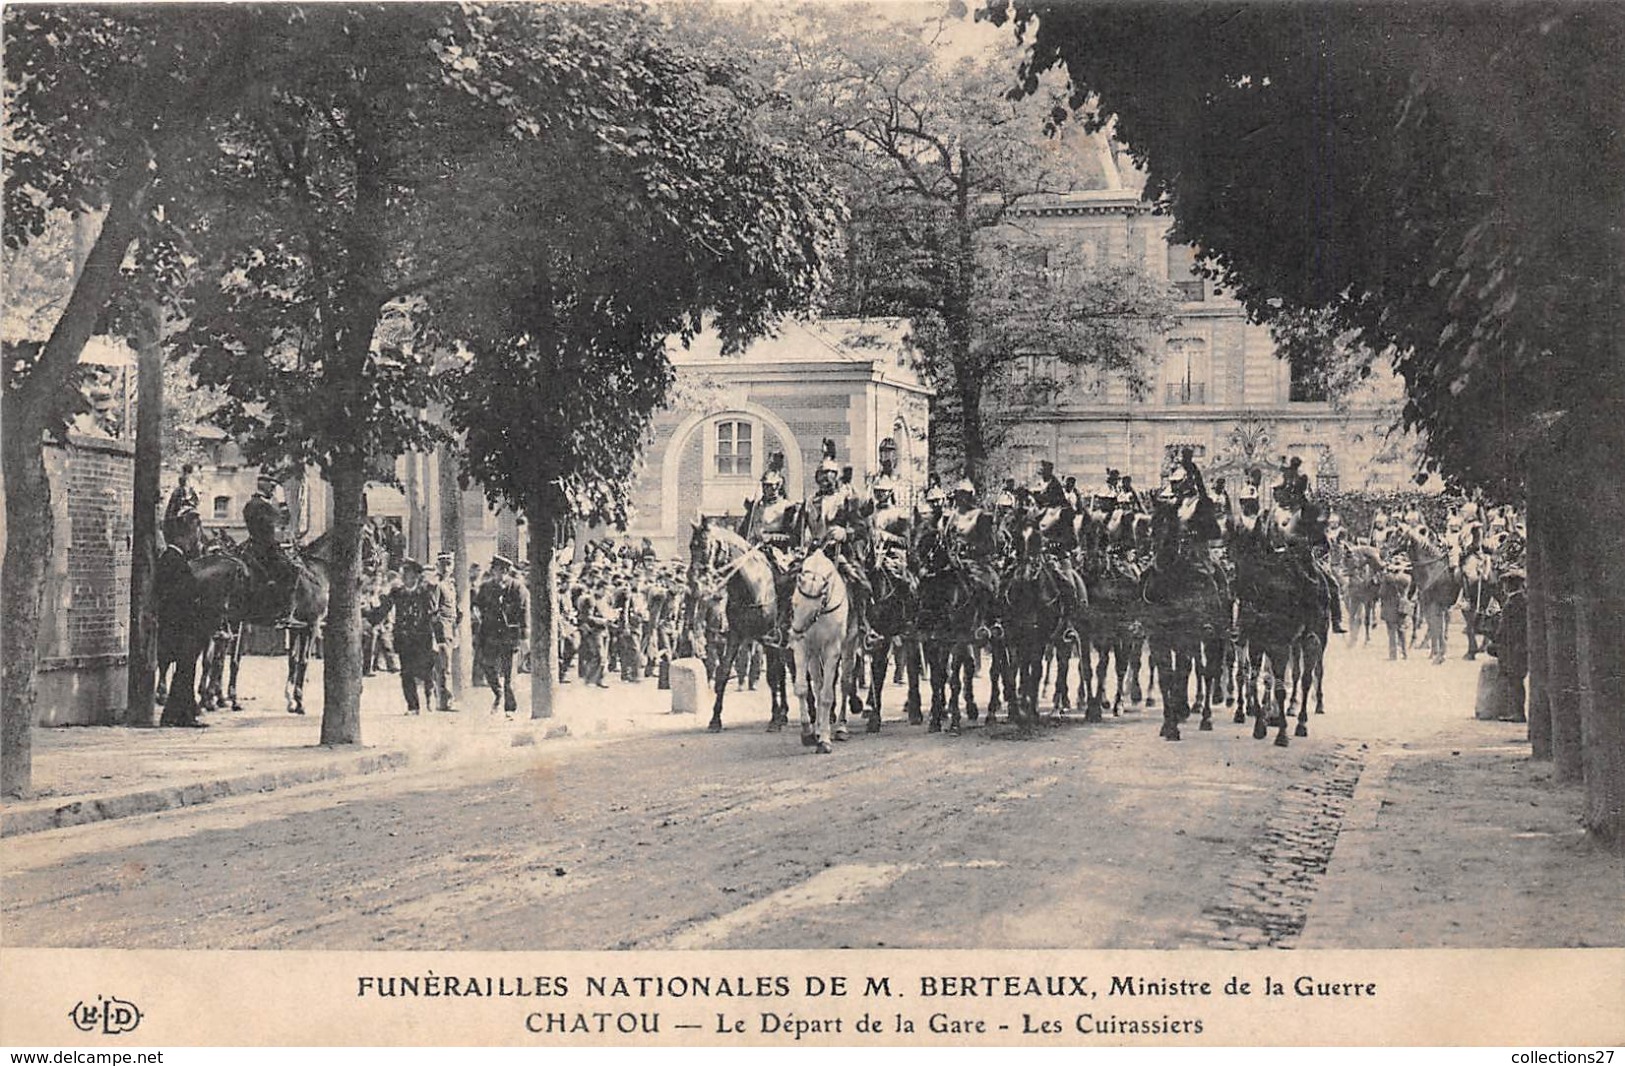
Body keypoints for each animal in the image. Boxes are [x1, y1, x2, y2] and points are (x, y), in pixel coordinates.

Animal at [186, 533, 331, 715]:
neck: (314, 572)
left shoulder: (297, 627)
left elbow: (293, 660)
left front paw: (290, 700)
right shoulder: (312, 624)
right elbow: (303, 661)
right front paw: (299, 702)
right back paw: (202, 702)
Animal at [685, 520, 793, 737]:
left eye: (705, 546)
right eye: (691, 546)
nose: (693, 582)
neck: (751, 585)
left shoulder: (769, 639)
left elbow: (771, 677)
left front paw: (774, 719)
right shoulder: (735, 636)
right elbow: (723, 672)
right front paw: (715, 719)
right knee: (784, 672)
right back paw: (785, 712)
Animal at [789, 552, 851, 754]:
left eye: (814, 608)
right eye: (794, 603)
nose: (794, 634)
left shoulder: (832, 650)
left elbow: (826, 696)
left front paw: (824, 739)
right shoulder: (804, 647)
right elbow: (802, 688)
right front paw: (807, 732)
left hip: (850, 647)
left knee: (845, 684)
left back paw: (840, 728)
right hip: (815, 655)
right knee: (817, 684)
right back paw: (816, 729)